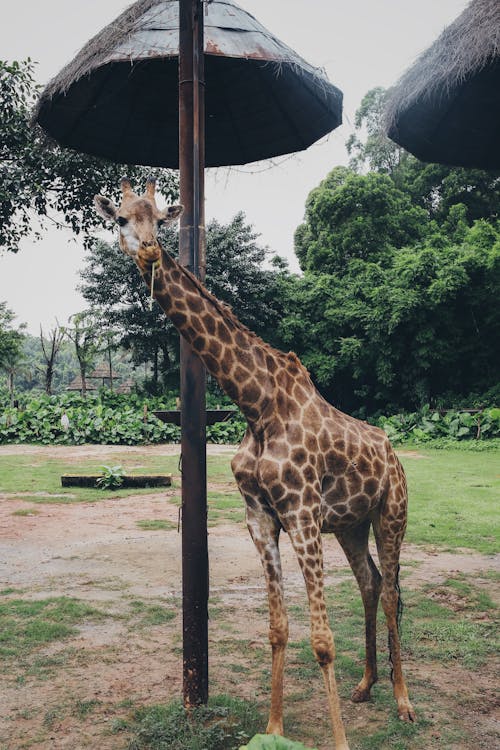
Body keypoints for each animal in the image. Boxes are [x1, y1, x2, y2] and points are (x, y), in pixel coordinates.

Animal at [95, 178, 416, 750]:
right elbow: (278, 628)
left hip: (390, 514)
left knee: (394, 590)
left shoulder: (303, 513)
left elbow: (322, 638)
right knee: (371, 583)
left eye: (159, 219)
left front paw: (338, 740)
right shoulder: (261, 517)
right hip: (350, 524)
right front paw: (272, 728)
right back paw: (364, 686)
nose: (151, 251)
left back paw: (403, 703)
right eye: (122, 219)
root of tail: (394, 455)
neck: (255, 404)